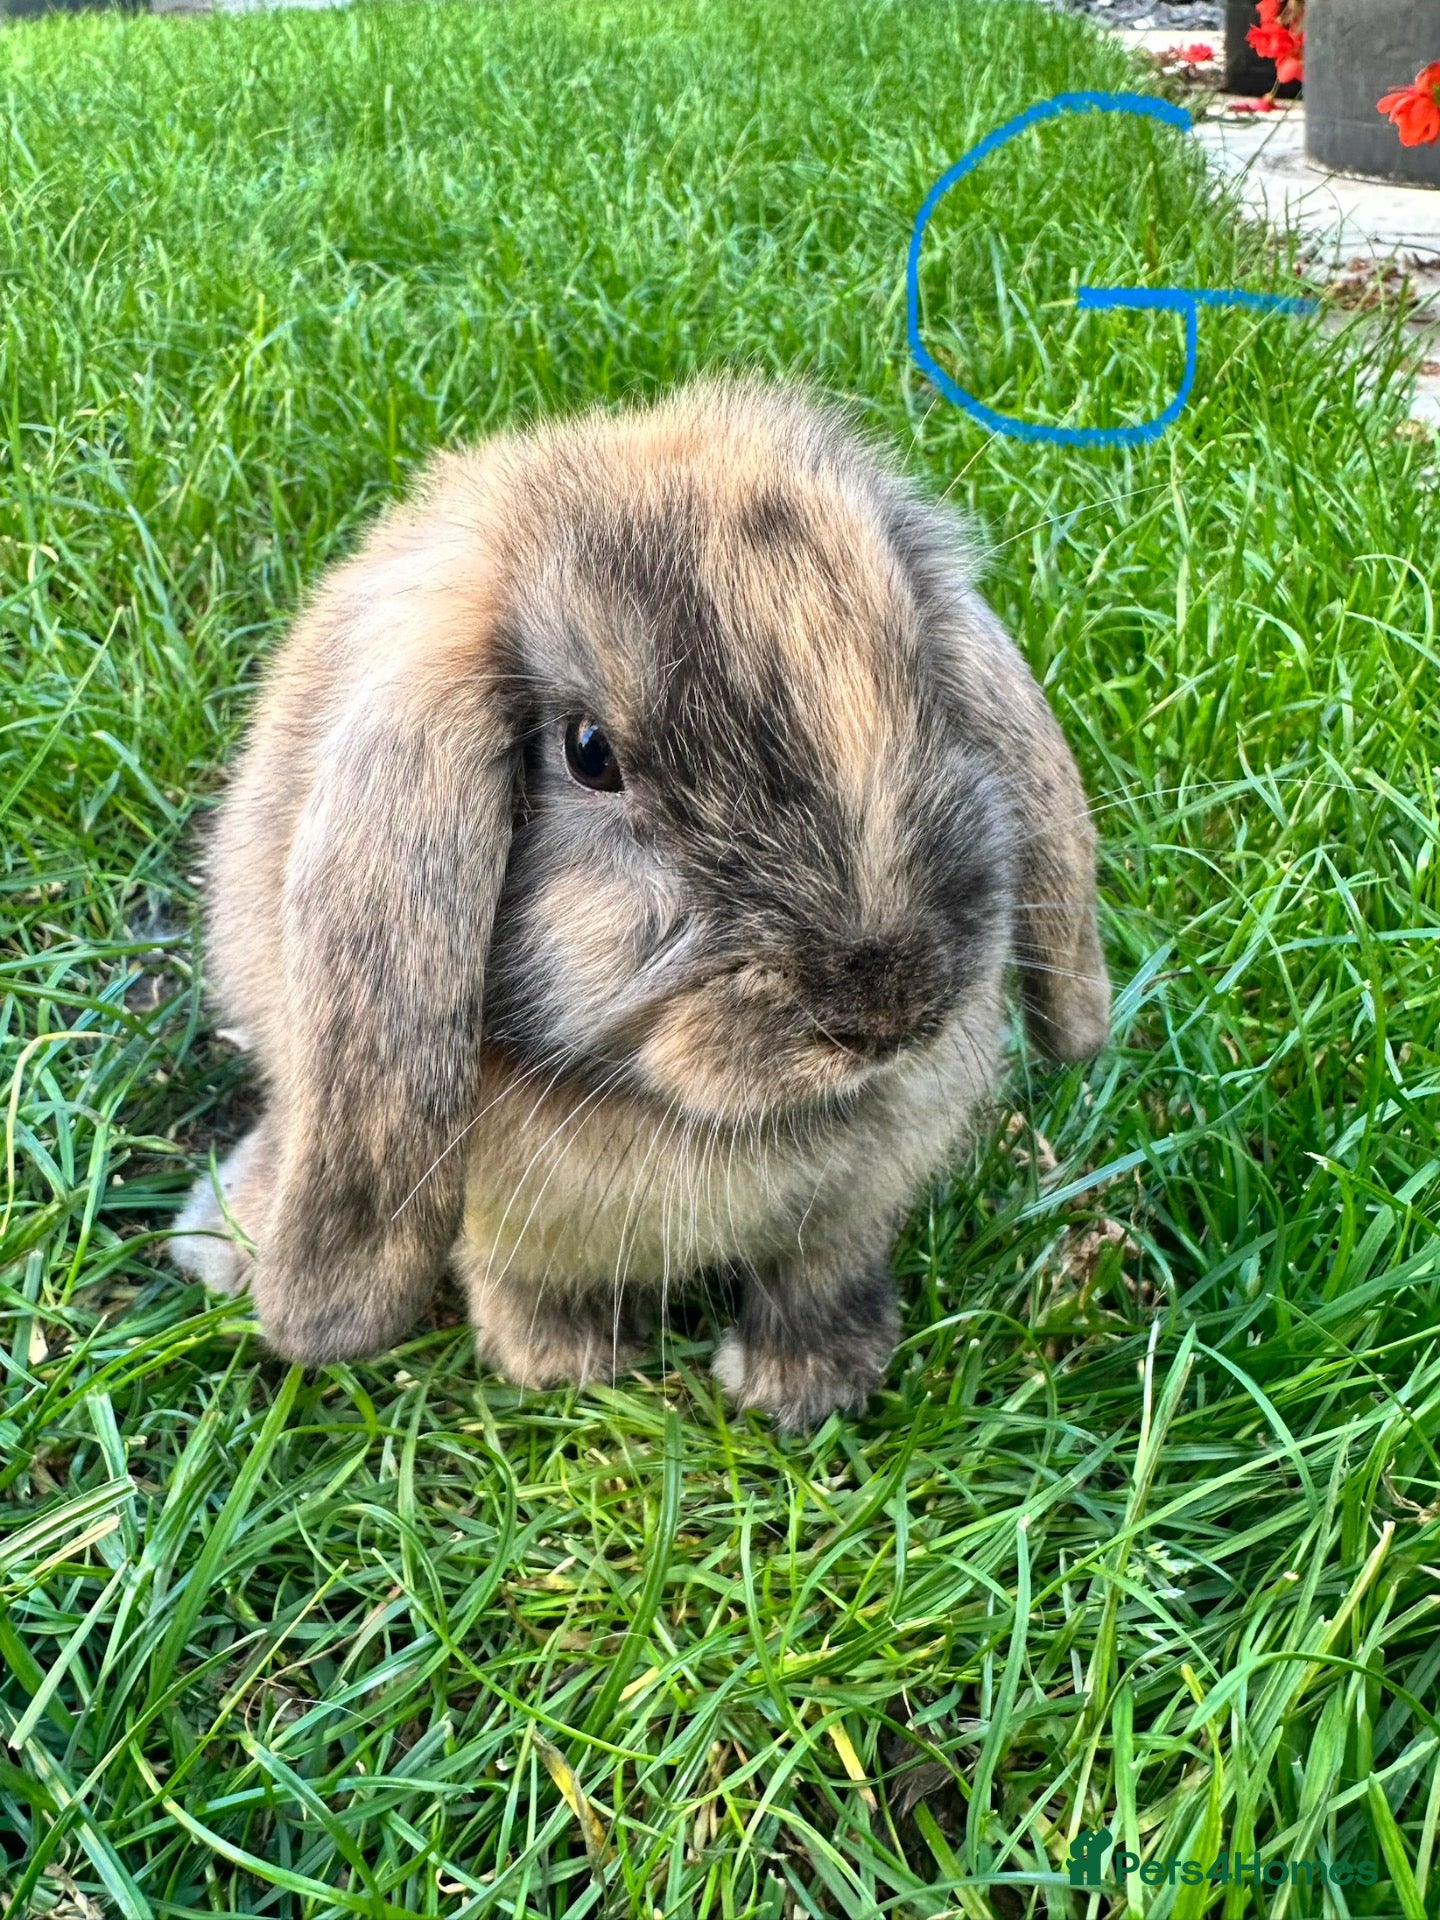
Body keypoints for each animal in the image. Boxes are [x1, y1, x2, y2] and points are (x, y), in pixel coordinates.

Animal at [168, 374, 1109, 1431]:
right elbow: (517, 1286)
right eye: (590, 754)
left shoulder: (850, 1210)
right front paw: (569, 1368)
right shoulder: (507, 1229)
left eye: (929, 697)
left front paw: (809, 1385)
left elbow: (821, 1271)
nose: (886, 1013)